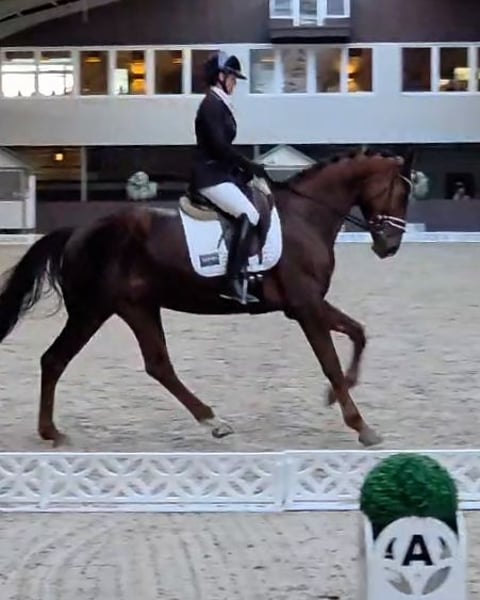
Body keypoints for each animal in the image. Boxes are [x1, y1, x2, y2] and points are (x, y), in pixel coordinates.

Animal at [0, 147, 413, 448]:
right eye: (402, 192)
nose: (389, 246)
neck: (306, 216)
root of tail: (76, 231)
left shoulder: (305, 306)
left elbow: (358, 333)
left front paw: (334, 397)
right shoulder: (305, 305)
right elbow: (330, 360)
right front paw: (361, 425)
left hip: (135, 307)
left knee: (154, 365)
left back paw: (211, 422)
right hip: (92, 310)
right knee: (57, 359)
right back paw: (53, 432)